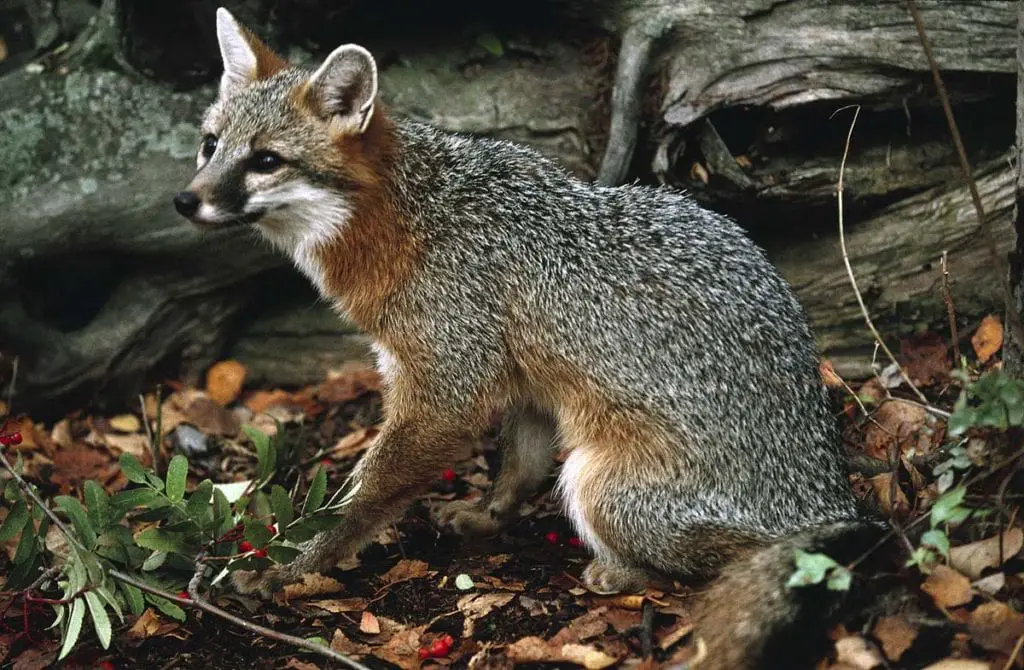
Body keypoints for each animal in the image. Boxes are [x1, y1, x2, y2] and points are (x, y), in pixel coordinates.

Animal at [172, 7, 884, 667]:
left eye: (266, 161)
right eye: (210, 145)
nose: (185, 201)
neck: (410, 219)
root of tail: (830, 499)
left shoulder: (444, 391)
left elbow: (357, 499)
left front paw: (289, 566)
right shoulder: (524, 376)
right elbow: (518, 463)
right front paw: (488, 515)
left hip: (596, 482)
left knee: (707, 561)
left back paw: (618, 571)